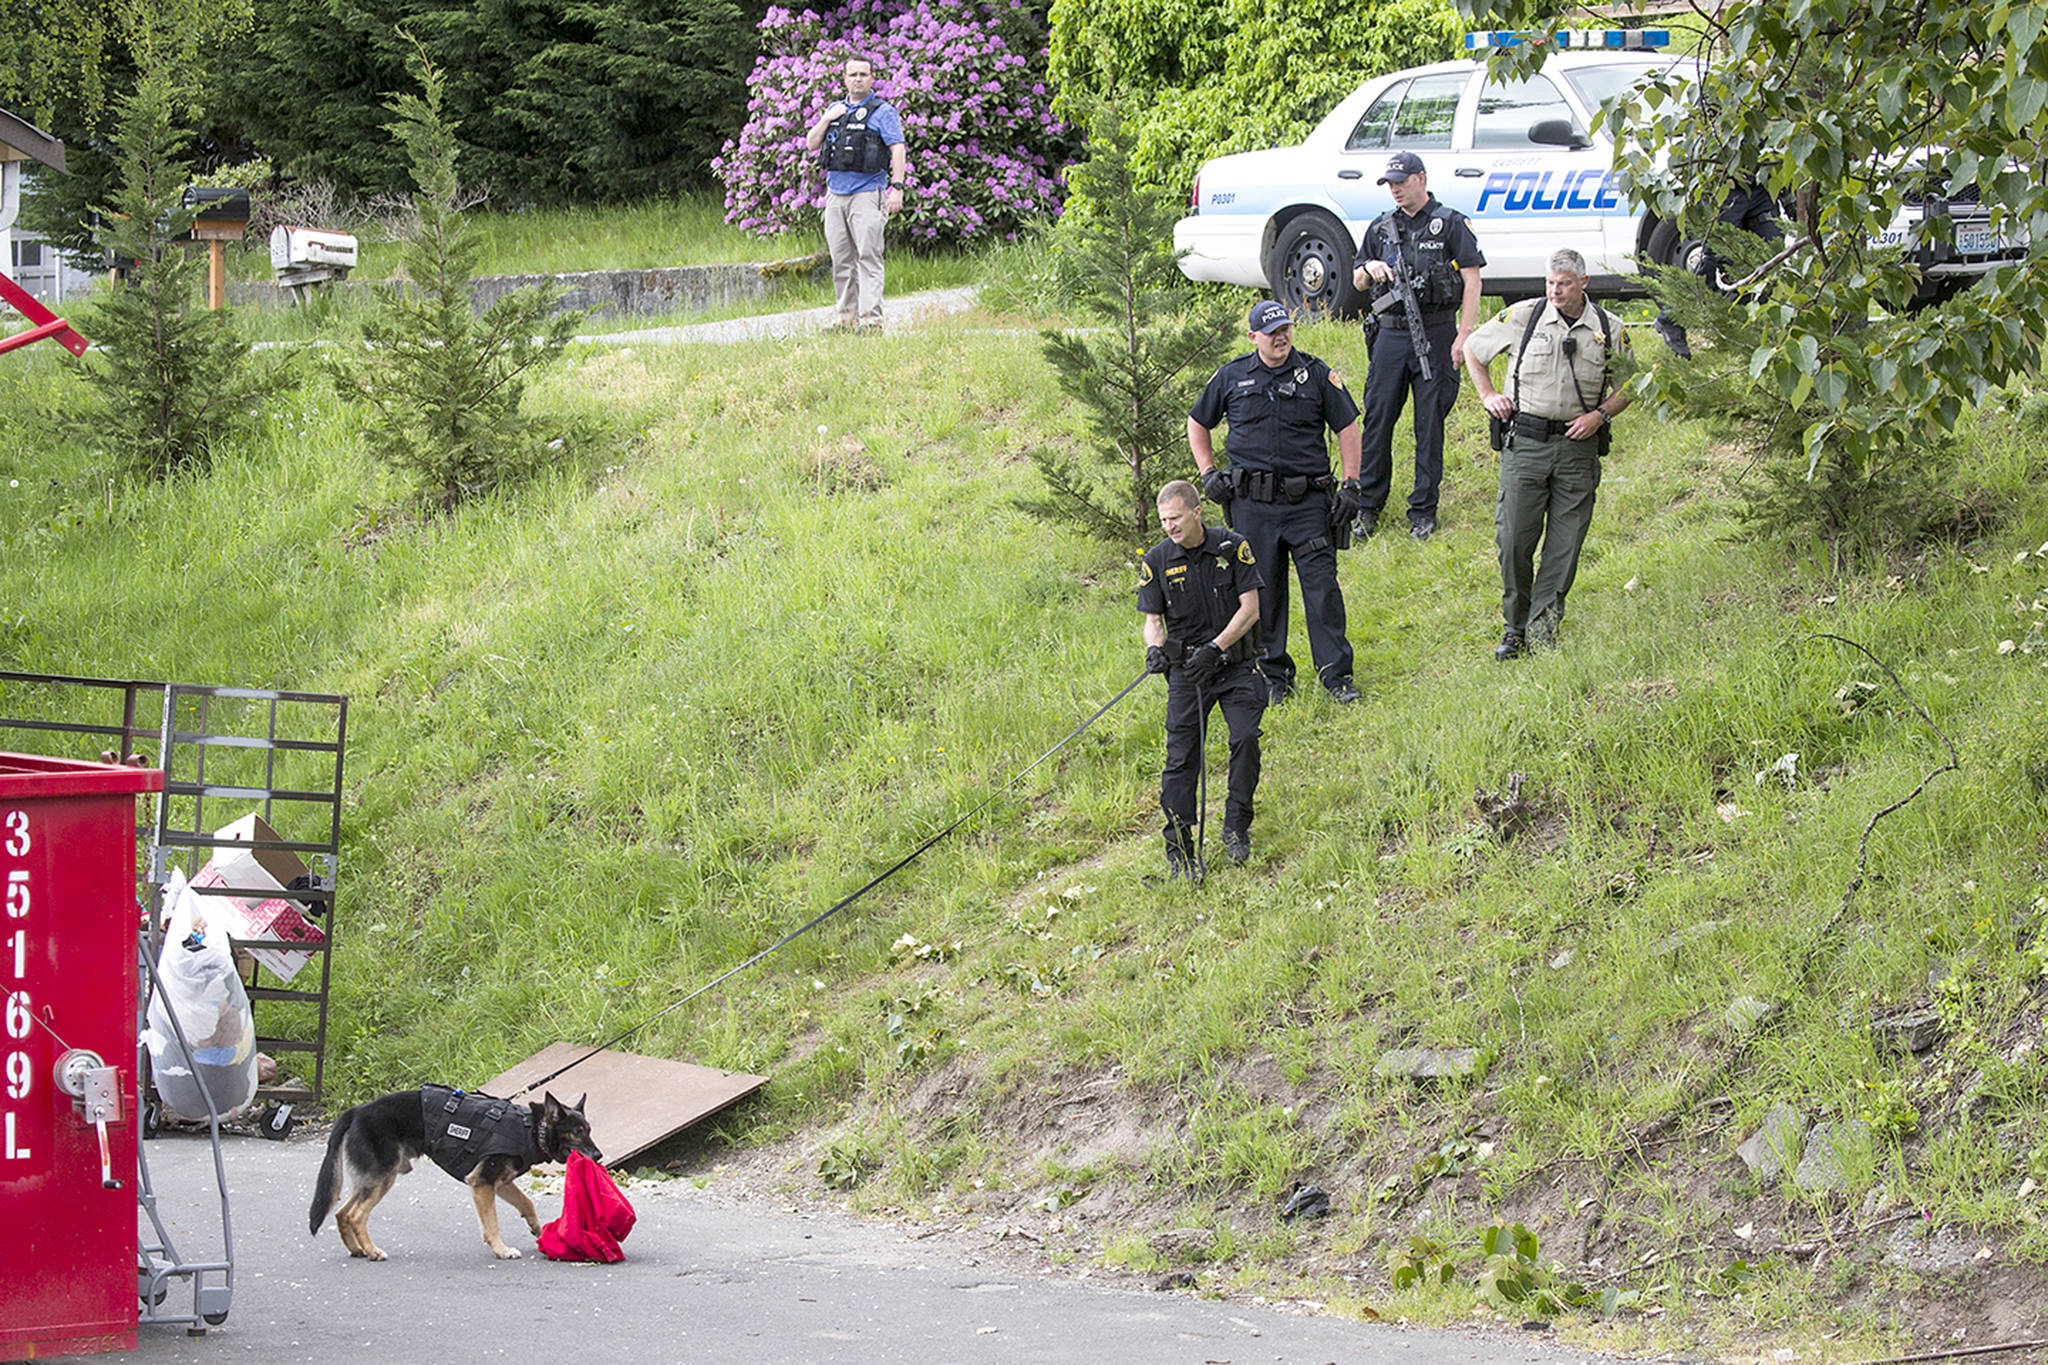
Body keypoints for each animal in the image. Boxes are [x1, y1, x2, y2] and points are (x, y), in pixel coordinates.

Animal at [307, 1080, 598, 1268]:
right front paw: (501, 1250)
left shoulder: (501, 1183)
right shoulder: (482, 1182)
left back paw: (356, 1249)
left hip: (371, 1180)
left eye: (589, 1130)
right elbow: (492, 1224)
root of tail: (357, 1111)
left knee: (341, 1212)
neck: (532, 1128)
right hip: (383, 1177)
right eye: (577, 1132)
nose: (598, 1156)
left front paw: (537, 1228)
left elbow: (527, 1202)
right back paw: (372, 1251)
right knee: (355, 1215)